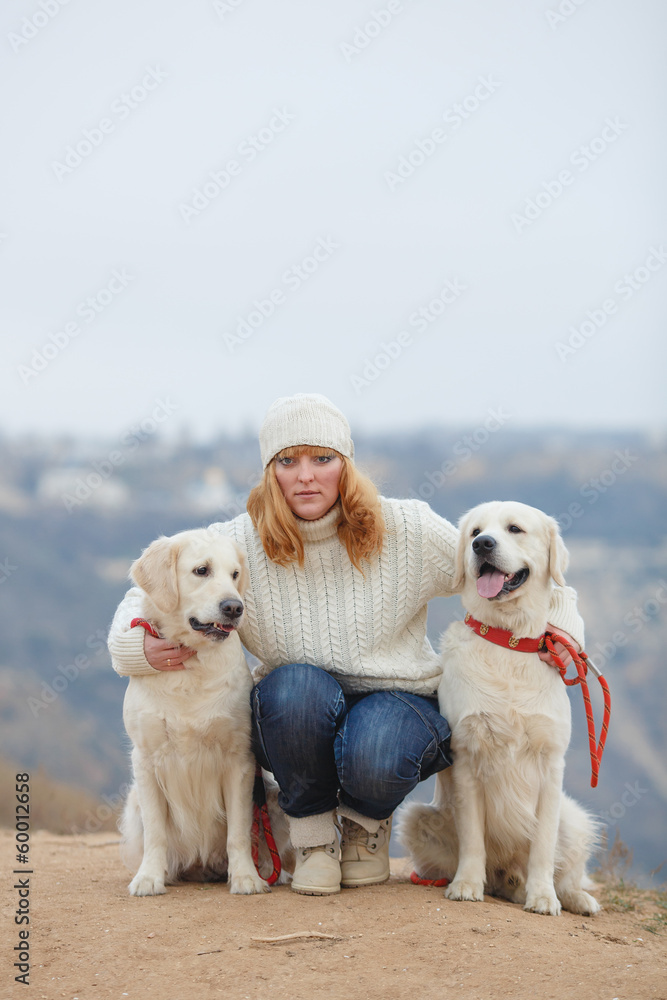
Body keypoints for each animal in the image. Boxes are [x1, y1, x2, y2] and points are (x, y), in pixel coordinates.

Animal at [120, 532, 288, 900]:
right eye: (202, 570)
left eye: (235, 574)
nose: (234, 607)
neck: (192, 665)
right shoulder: (146, 760)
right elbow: (156, 832)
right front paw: (149, 877)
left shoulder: (239, 760)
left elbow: (239, 831)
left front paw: (246, 878)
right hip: (134, 800)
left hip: (269, 795)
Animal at [400, 500, 604, 916]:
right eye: (475, 531)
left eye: (514, 529)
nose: (482, 545)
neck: (507, 641)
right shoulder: (467, 755)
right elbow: (473, 838)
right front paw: (466, 884)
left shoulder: (550, 762)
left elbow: (542, 846)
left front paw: (543, 896)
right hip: (417, 818)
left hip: (573, 818)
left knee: (567, 871)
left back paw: (573, 897)